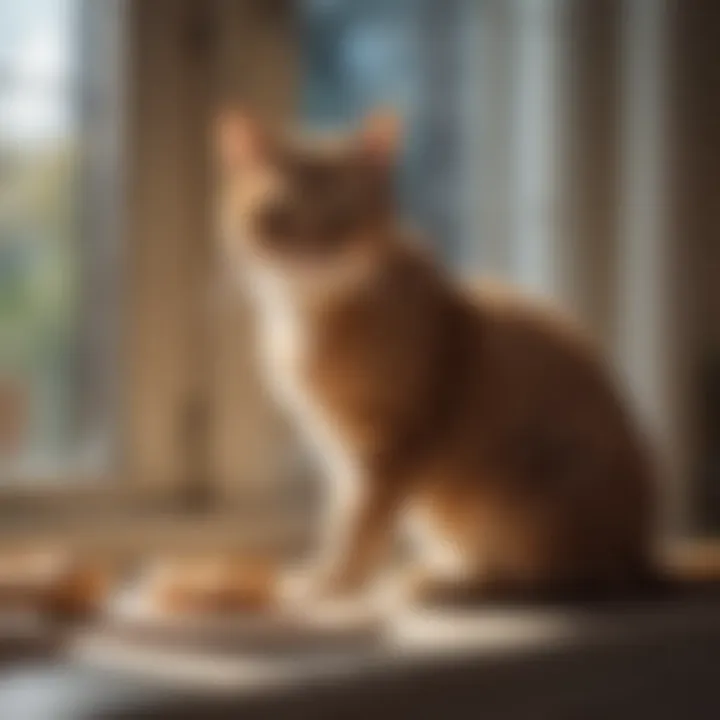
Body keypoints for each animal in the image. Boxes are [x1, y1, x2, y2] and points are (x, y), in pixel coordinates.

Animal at [214, 109, 660, 604]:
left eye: (342, 218)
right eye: (278, 217)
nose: (312, 256)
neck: (313, 318)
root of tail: (641, 554)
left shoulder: (398, 442)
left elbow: (360, 521)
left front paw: (334, 581)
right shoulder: (343, 454)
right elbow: (343, 513)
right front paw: (331, 576)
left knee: (556, 578)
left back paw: (445, 583)